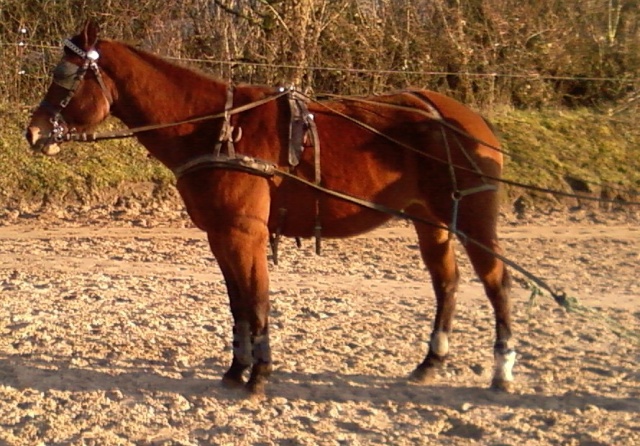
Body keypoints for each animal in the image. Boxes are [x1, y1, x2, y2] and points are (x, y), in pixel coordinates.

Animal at [27, 22, 516, 396]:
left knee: (497, 283)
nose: (33, 132)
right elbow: (239, 305)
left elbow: (258, 300)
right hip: (431, 220)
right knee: (447, 283)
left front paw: (259, 376)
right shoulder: (220, 234)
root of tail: (466, 118)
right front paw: (236, 370)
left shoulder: (246, 233)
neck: (218, 128)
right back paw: (430, 362)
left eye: (67, 78)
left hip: (472, 218)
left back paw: (502, 371)